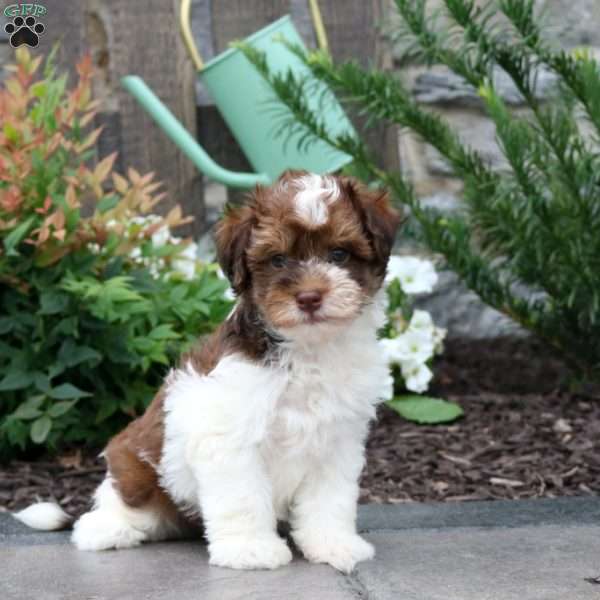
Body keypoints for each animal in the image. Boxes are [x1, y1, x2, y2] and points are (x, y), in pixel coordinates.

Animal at [17, 170, 404, 572]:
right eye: (278, 260)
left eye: (339, 253)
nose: (309, 297)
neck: (308, 349)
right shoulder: (229, 435)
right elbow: (243, 497)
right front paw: (250, 548)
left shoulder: (337, 441)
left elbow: (330, 499)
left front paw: (334, 544)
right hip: (134, 462)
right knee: (121, 498)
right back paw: (106, 527)